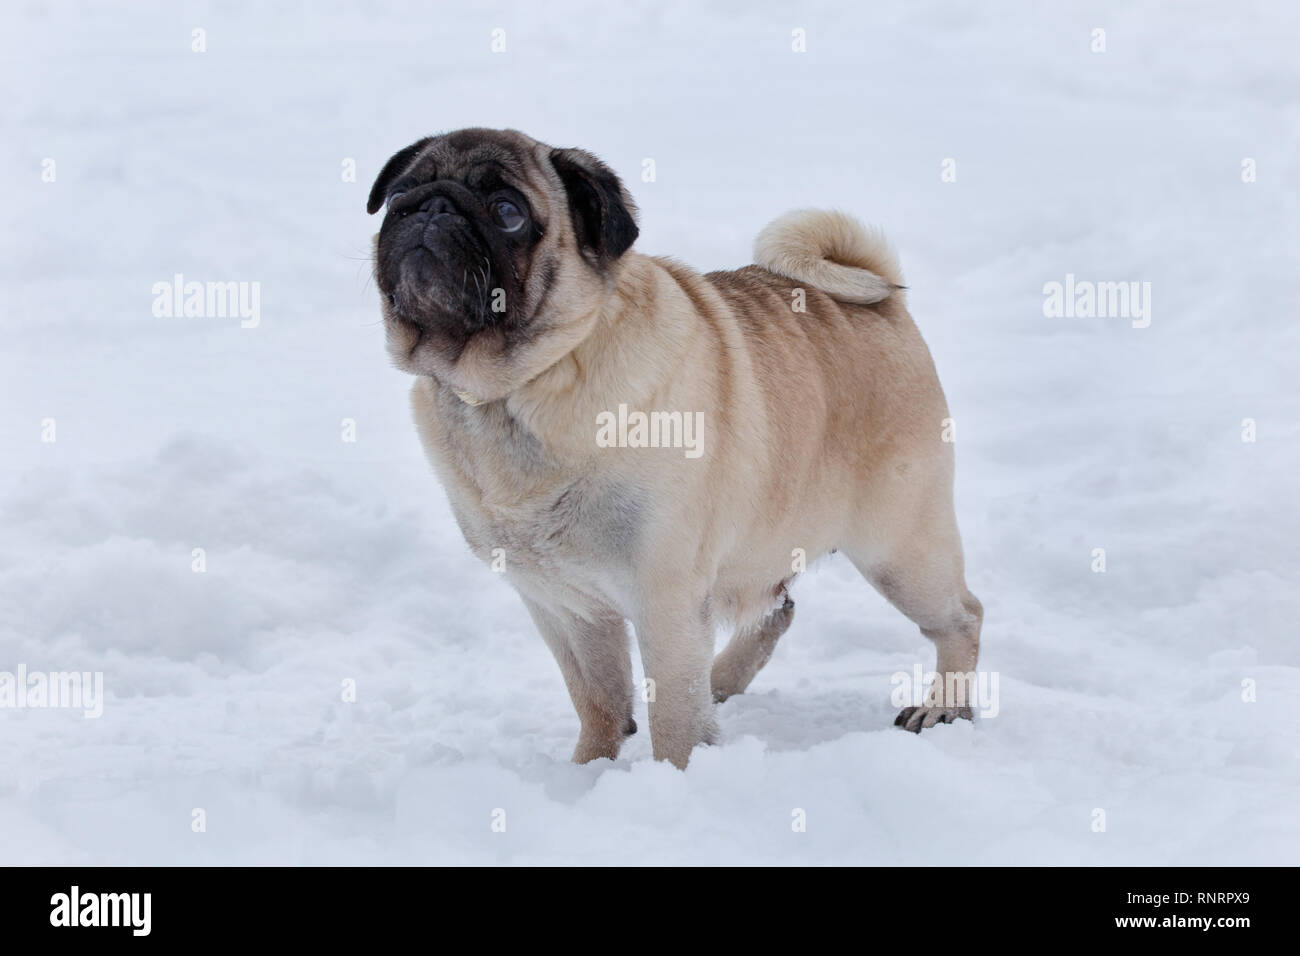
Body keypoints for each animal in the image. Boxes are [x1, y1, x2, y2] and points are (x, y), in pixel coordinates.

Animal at [371, 128, 977, 770]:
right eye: (400, 194)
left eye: (508, 211)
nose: (432, 206)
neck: (511, 394)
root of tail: (884, 303)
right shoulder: (565, 606)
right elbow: (598, 700)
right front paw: (589, 772)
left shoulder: (662, 599)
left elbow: (673, 716)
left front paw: (677, 777)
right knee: (776, 610)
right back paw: (723, 680)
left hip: (899, 551)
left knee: (962, 619)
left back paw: (944, 709)